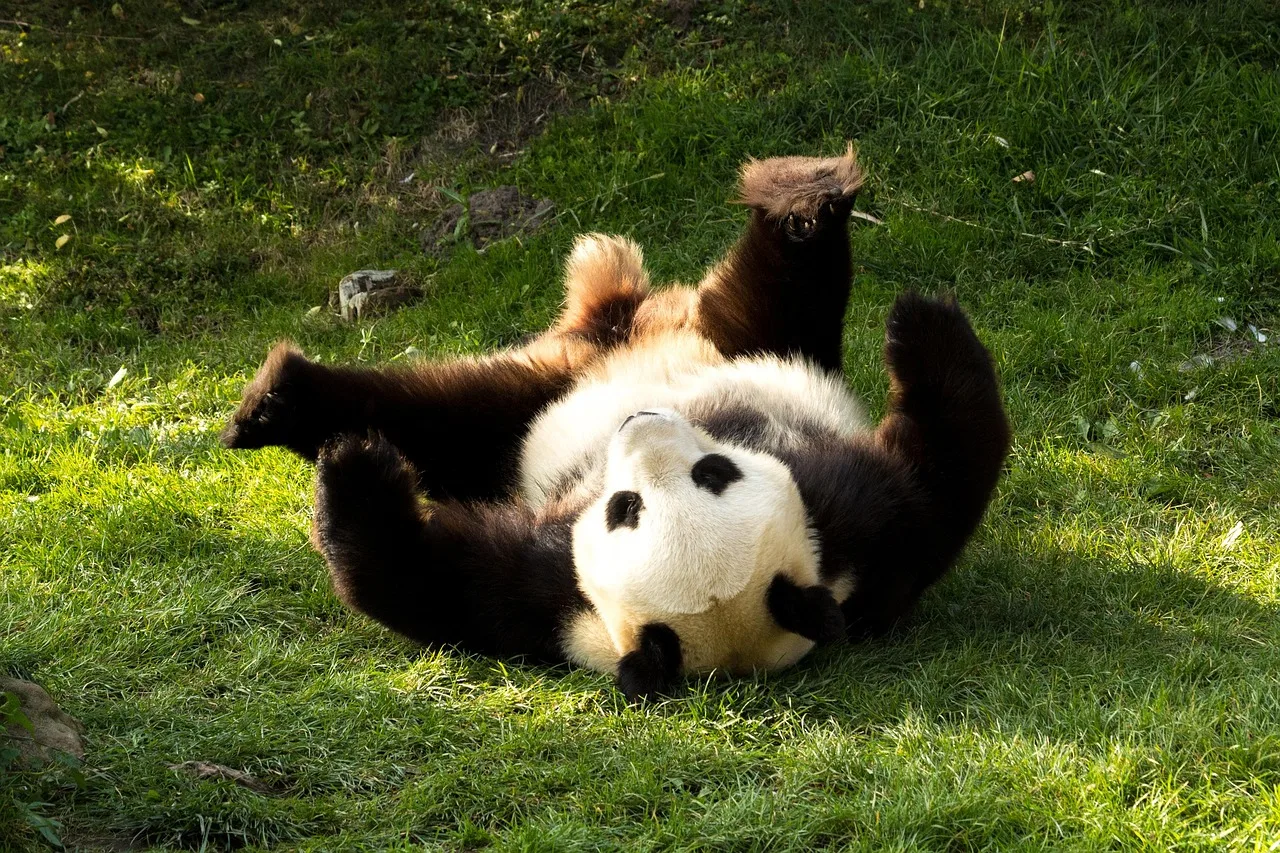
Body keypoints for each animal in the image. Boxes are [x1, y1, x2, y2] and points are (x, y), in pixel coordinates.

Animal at [220, 149, 1011, 700]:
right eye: (625, 507)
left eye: (709, 472)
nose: (638, 420)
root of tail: (622, 319)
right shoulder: (555, 600)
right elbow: (441, 585)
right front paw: (361, 467)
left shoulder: (857, 540)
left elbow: (934, 487)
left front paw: (357, 468)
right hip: (600, 375)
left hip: (653, 358)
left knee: (452, 419)